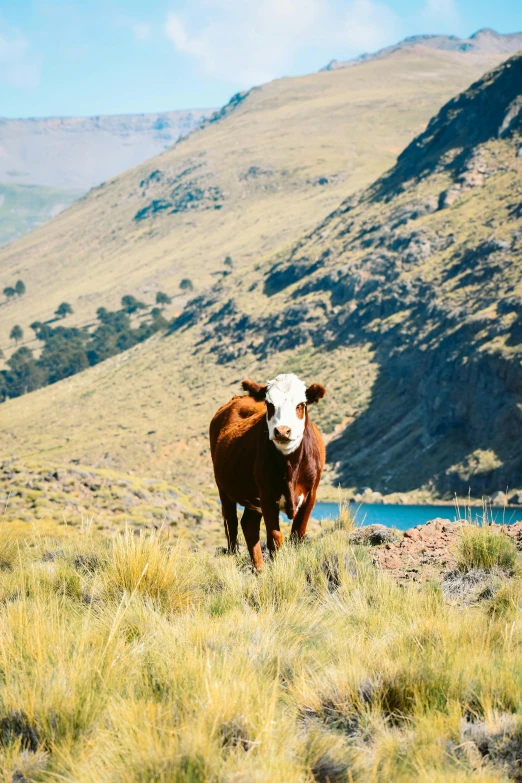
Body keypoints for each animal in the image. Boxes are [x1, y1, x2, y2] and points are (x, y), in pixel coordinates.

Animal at [208, 374, 322, 568]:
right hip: (224, 488)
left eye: (301, 404)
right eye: (269, 404)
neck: (290, 467)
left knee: (248, 524)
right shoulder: (267, 495)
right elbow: (275, 539)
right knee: (231, 524)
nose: (282, 431)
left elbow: (297, 535)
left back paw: (259, 569)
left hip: (253, 499)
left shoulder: (311, 494)